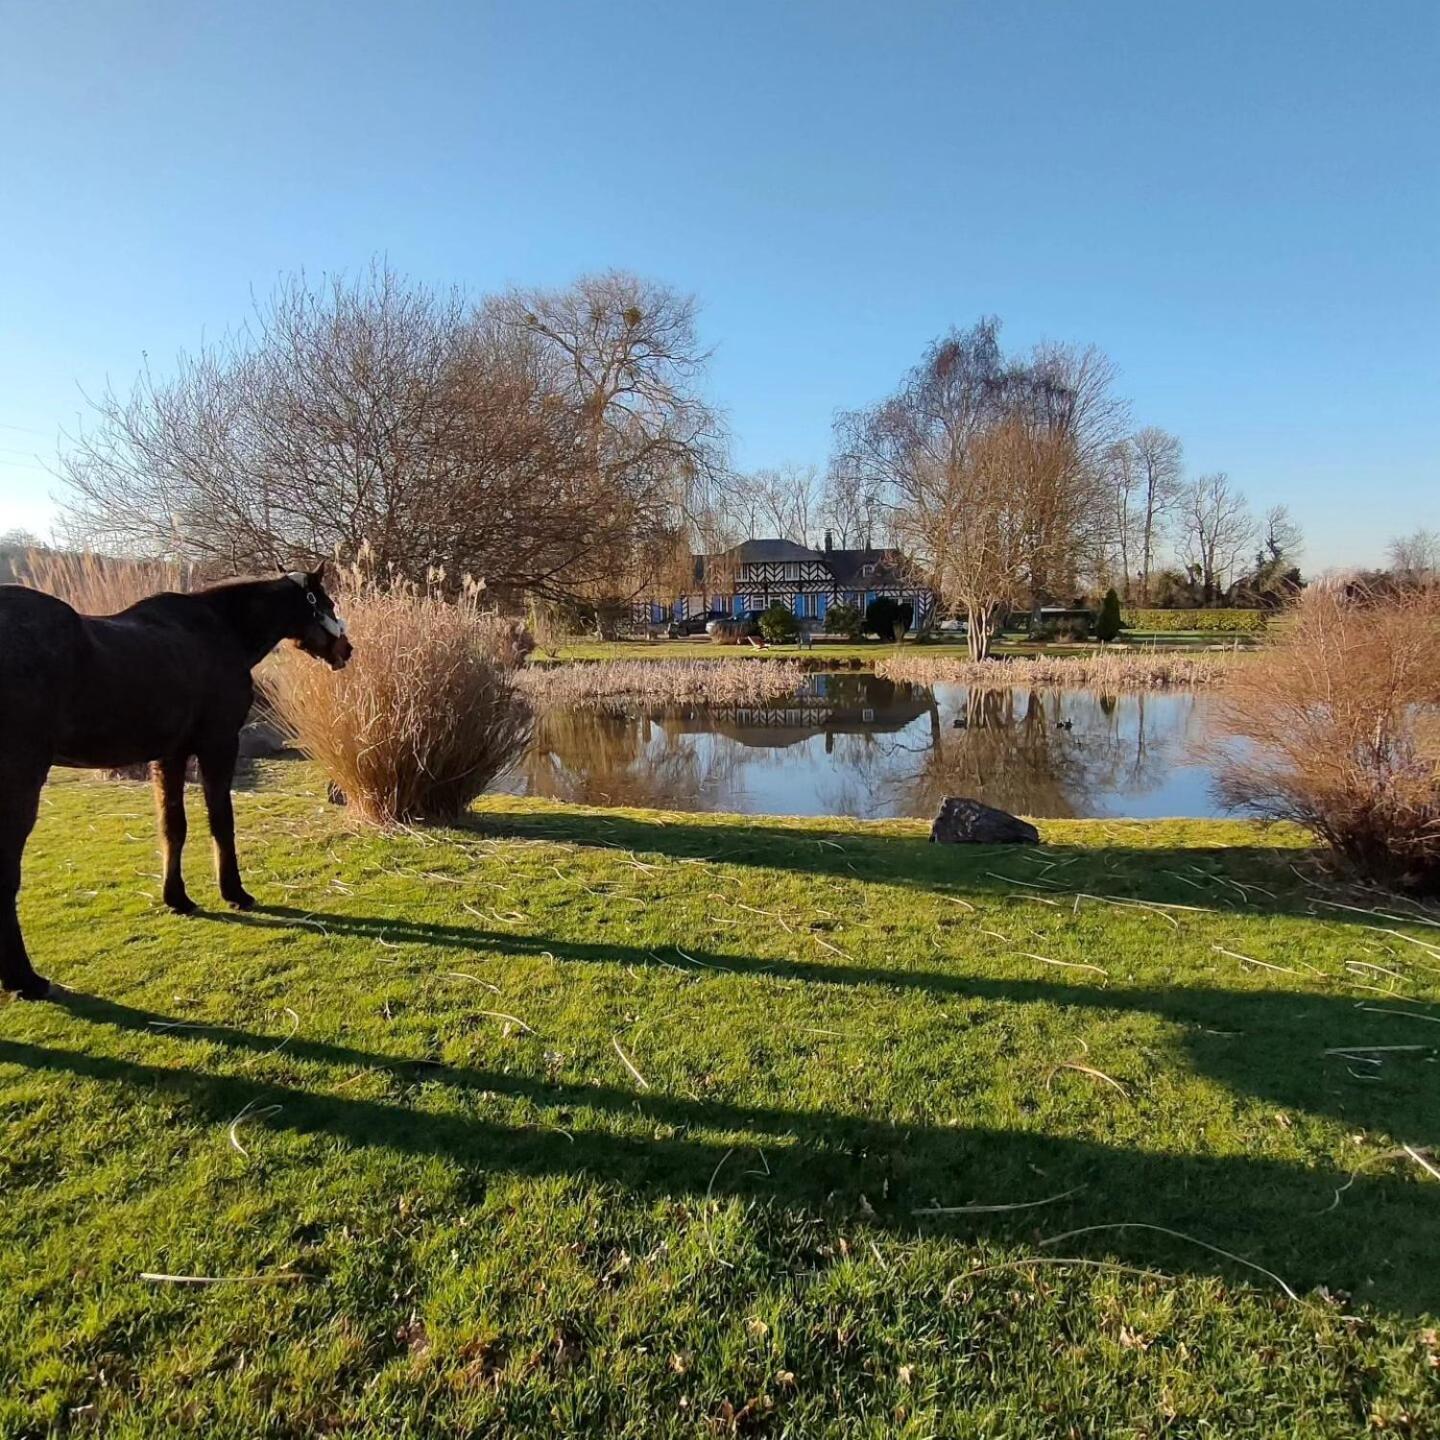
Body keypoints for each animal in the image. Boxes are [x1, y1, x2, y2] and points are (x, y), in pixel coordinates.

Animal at [0, 567, 351, 996]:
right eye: (327, 602)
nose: (346, 648)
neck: (221, 629)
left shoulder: (170, 755)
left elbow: (173, 827)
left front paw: (178, 898)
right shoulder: (218, 745)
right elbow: (221, 823)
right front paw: (235, 892)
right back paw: (24, 978)